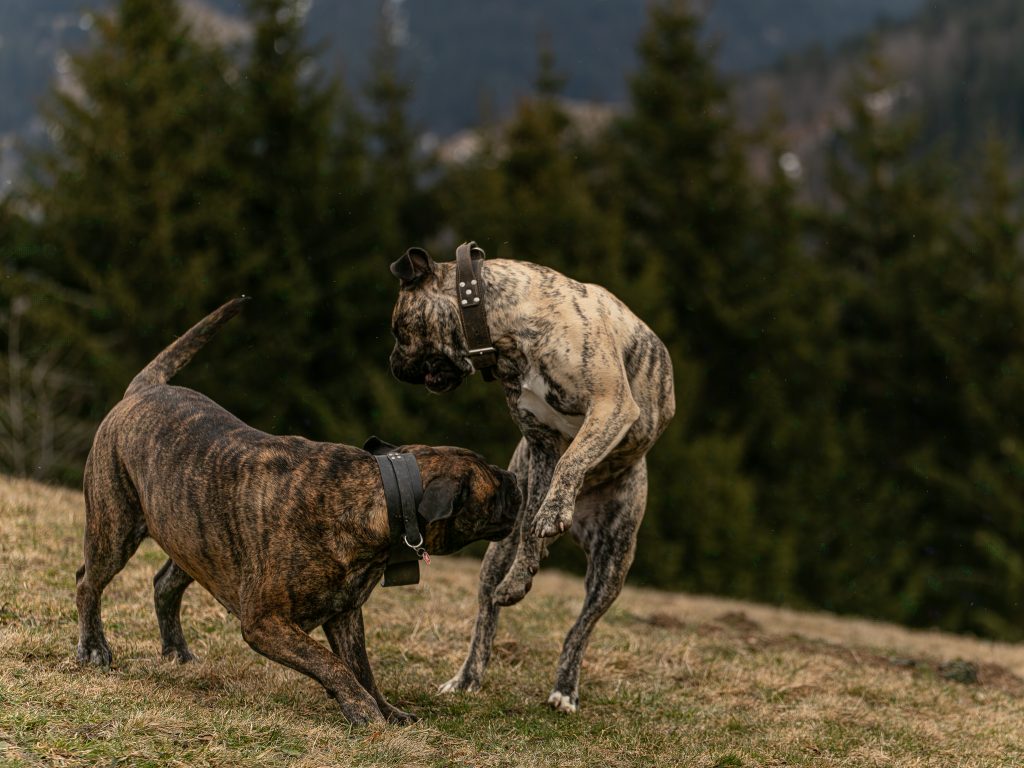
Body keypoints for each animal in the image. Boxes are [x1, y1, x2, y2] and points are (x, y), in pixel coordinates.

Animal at [75, 298, 522, 725]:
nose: (516, 480)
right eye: (495, 488)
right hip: (115, 530)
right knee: (87, 583)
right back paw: (94, 648)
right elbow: (330, 663)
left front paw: (387, 710)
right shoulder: (265, 622)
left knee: (164, 584)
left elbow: (361, 668)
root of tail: (142, 389)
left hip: (193, 537)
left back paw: (176, 651)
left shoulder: (345, 615)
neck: (372, 500)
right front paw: (361, 709)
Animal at [388, 245, 675, 713]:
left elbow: (573, 459)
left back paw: (565, 689)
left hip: (613, 562)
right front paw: (527, 564)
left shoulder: (610, 404)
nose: (393, 365)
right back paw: (469, 674)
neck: (503, 330)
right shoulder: (539, 445)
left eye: (398, 330)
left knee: (580, 629)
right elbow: (532, 524)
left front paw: (554, 510)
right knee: (488, 612)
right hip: (496, 553)